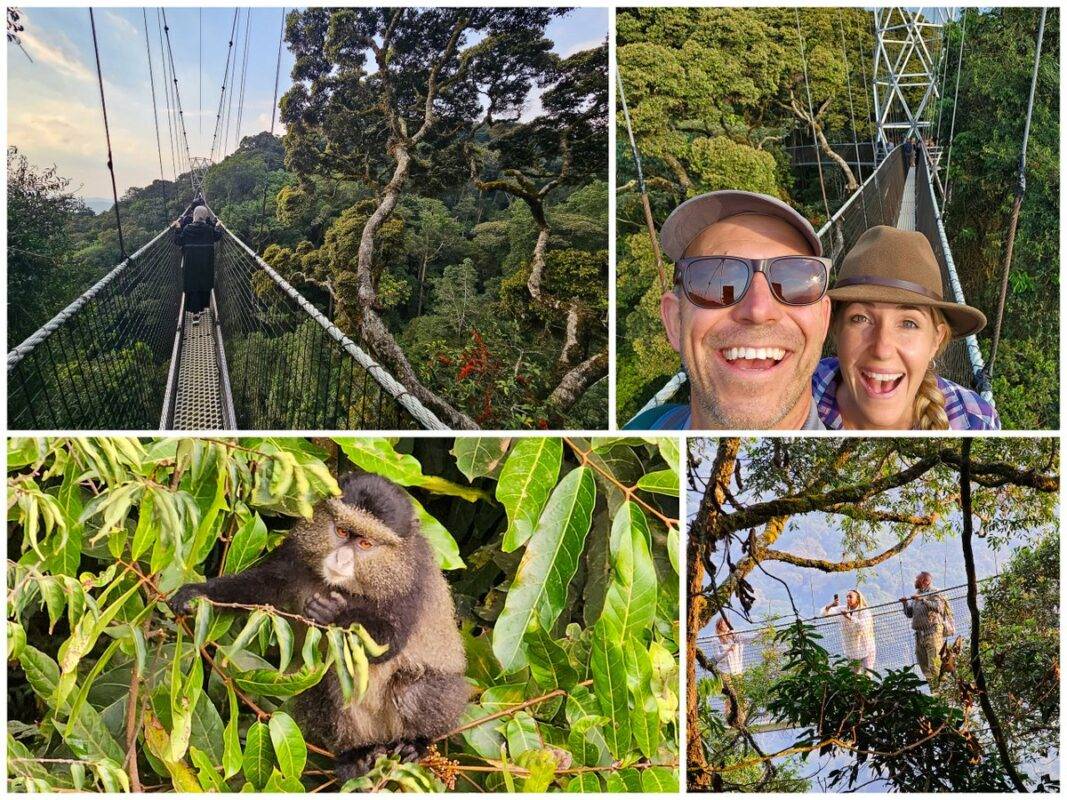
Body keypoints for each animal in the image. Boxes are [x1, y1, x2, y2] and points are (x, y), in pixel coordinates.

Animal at [168, 473, 469, 780]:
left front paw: (332, 613)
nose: (341, 559)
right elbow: (262, 585)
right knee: (330, 680)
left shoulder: (412, 583)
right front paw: (195, 594)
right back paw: (354, 755)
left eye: (365, 544)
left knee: (409, 687)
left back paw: (414, 743)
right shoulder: (295, 550)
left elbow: (388, 645)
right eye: (342, 531)